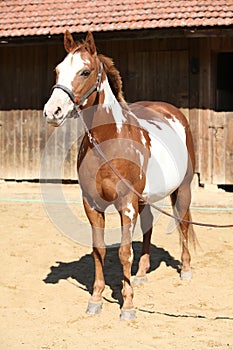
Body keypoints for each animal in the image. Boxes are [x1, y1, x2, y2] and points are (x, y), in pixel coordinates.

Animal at [43, 31, 197, 322]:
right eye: (57, 70)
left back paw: (186, 270)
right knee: (148, 227)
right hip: (144, 199)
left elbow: (125, 252)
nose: (52, 111)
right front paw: (95, 300)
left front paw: (128, 307)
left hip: (182, 189)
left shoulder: (126, 205)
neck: (108, 142)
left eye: (85, 71)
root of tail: (174, 113)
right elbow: (99, 250)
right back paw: (142, 275)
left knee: (183, 223)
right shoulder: (92, 205)